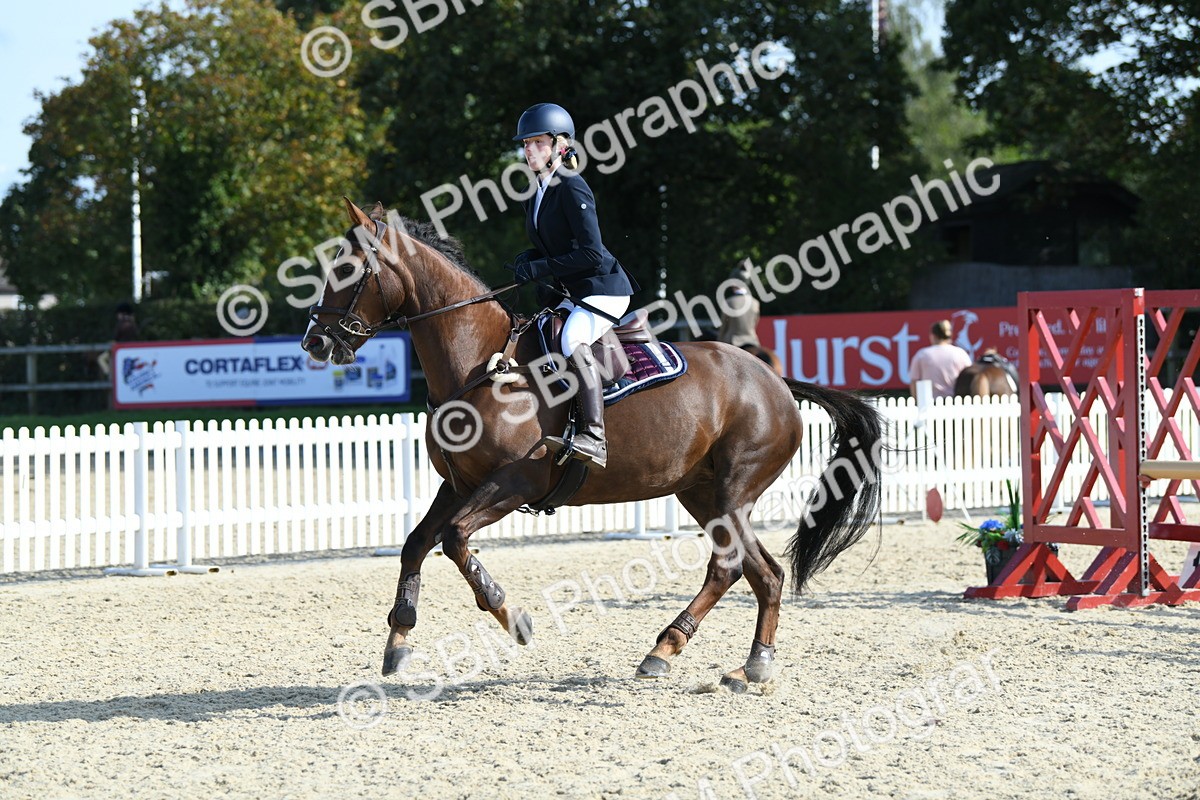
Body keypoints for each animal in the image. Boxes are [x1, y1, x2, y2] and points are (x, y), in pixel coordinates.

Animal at [302, 199, 883, 692]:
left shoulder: (512, 483)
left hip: (733, 490)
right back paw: (728, 661)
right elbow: (416, 544)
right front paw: (398, 641)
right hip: (701, 492)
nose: (315, 340)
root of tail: (776, 382)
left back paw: (692, 654)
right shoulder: (458, 484)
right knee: (758, 571)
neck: (481, 366)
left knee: (734, 567)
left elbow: (455, 541)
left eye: (348, 270)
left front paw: (513, 616)